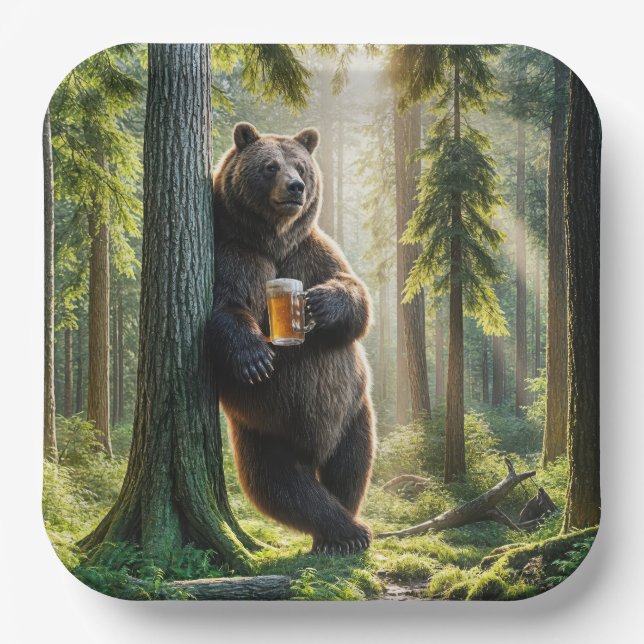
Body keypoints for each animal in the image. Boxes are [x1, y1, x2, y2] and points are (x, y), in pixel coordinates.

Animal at [208, 122, 375, 554]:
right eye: (270, 166)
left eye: (300, 165)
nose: (296, 187)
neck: (273, 240)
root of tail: (312, 448)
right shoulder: (235, 256)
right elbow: (226, 307)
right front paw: (255, 358)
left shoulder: (312, 252)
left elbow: (356, 298)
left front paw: (320, 304)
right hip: (265, 430)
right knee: (282, 486)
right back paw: (342, 531)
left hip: (353, 411)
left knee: (351, 465)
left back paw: (345, 529)